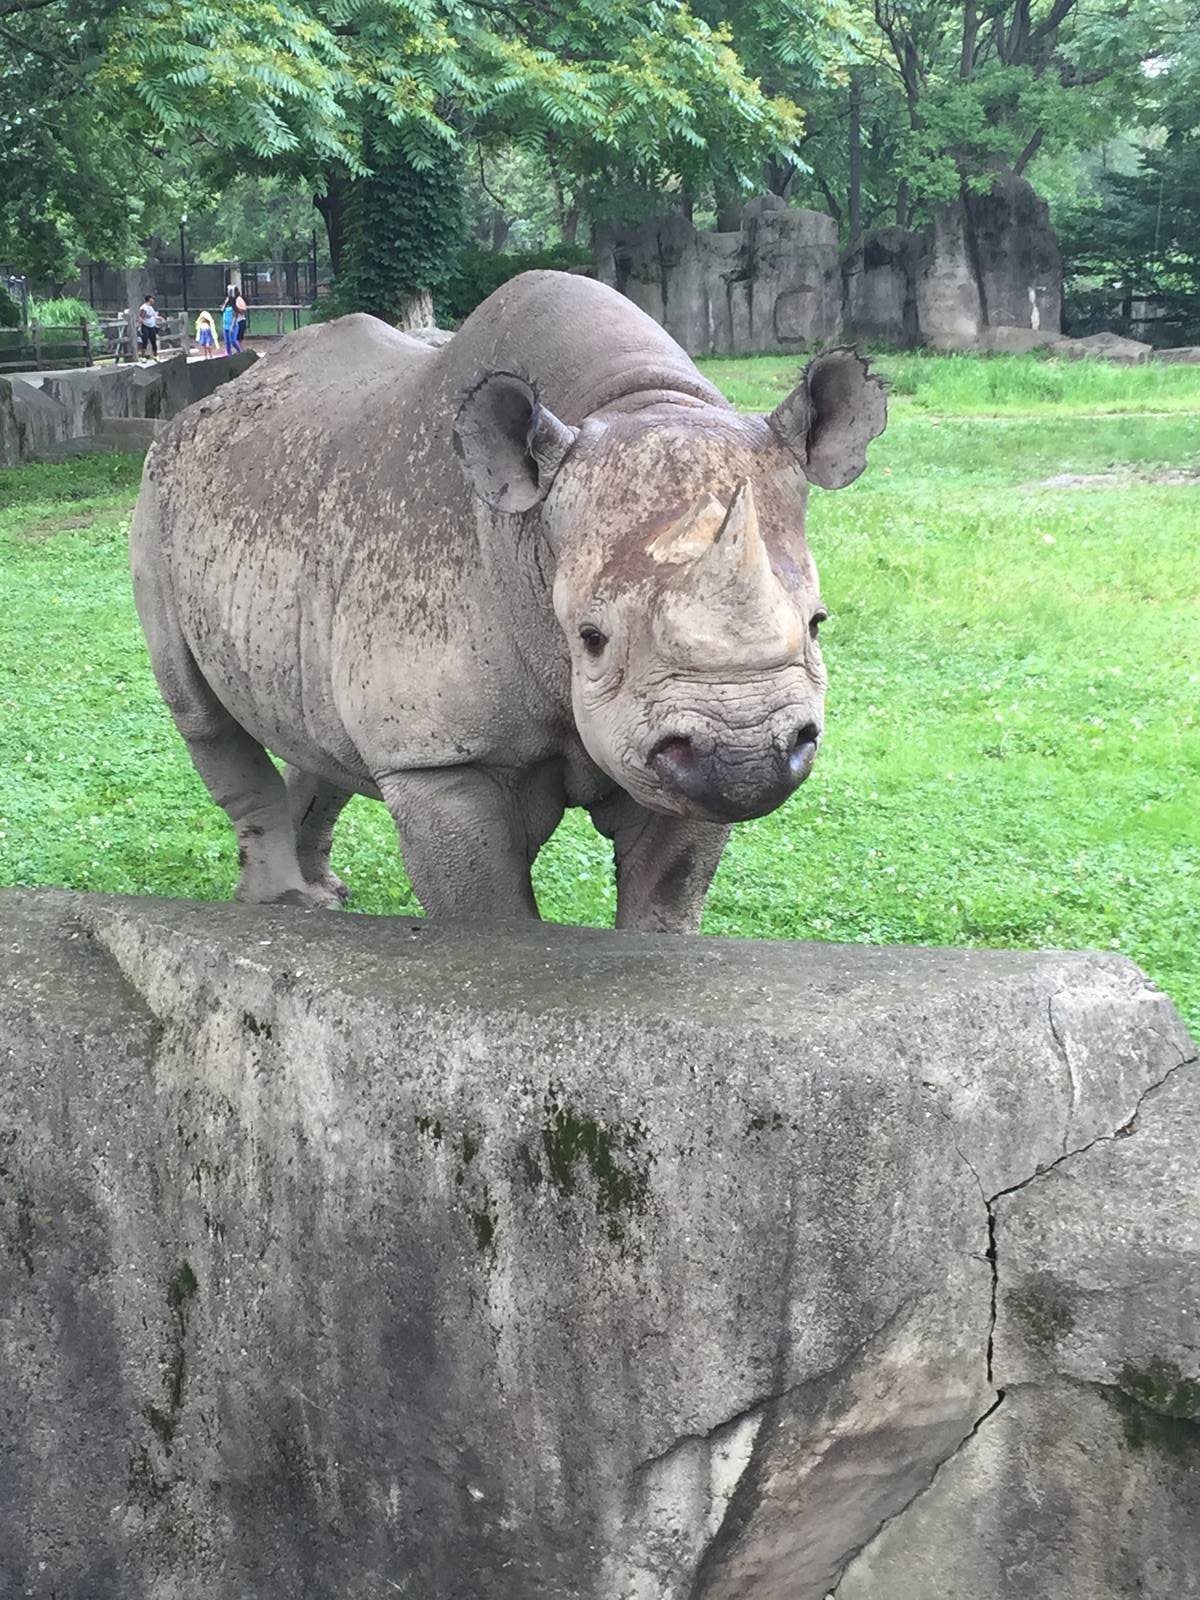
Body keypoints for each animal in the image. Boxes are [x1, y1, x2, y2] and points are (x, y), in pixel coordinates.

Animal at [131, 271, 885, 933]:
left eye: (818, 623)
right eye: (591, 638)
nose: (745, 754)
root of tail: (215, 400)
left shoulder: (677, 767)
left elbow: (665, 903)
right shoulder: (440, 757)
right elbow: (491, 919)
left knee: (315, 729)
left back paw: (323, 898)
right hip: (157, 495)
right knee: (200, 713)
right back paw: (281, 906)